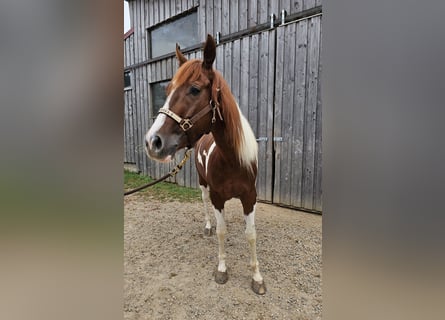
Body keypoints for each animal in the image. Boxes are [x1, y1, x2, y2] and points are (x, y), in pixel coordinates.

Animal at [144, 35, 266, 296]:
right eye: (166, 90)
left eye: (194, 89)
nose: (152, 142)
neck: (231, 159)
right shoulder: (218, 197)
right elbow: (221, 231)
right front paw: (221, 269)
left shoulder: (250, 197)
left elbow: (251, 234)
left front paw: (257, 277)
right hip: (202, 184)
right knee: (204, 203)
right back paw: (208, 225)